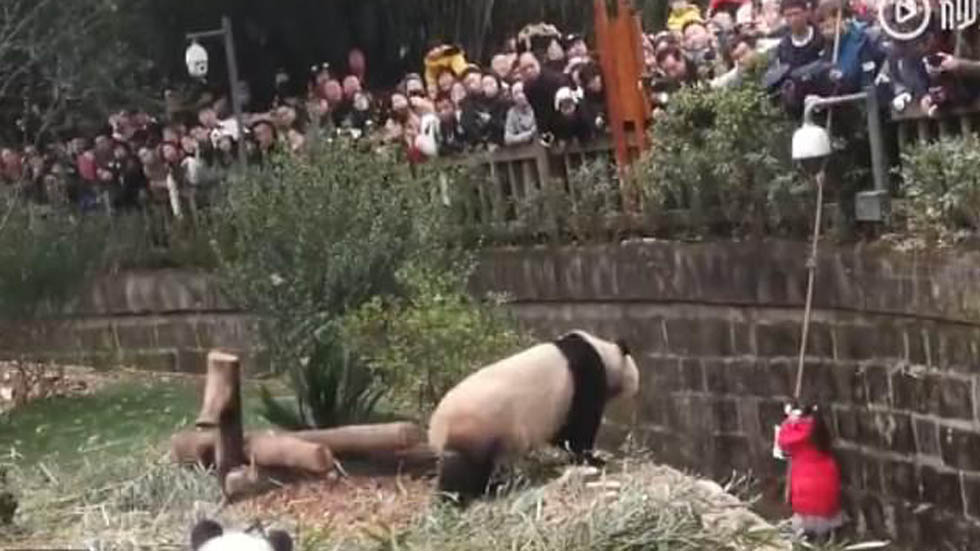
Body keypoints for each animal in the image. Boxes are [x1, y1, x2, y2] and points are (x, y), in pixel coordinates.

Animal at [427, 329, 640, 505]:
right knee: (464, 468)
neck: (602, 352)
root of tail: (435, 428)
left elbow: (562, 435)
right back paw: (460, 496)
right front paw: (593, 458)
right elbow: (579, 426)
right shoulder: (585, 376)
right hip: (476, 427)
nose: (636, 391)